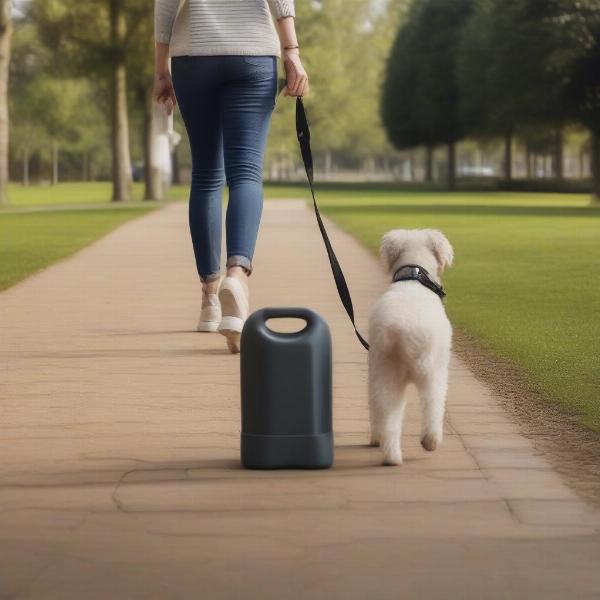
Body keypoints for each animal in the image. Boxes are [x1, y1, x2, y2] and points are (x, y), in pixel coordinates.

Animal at [366, 227, 454, 466]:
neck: (414, 277)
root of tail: (401, 332)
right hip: (432, 373)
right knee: (433, 406)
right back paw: (431, 441)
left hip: (384, 375)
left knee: (386, 416)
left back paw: (391, 456)